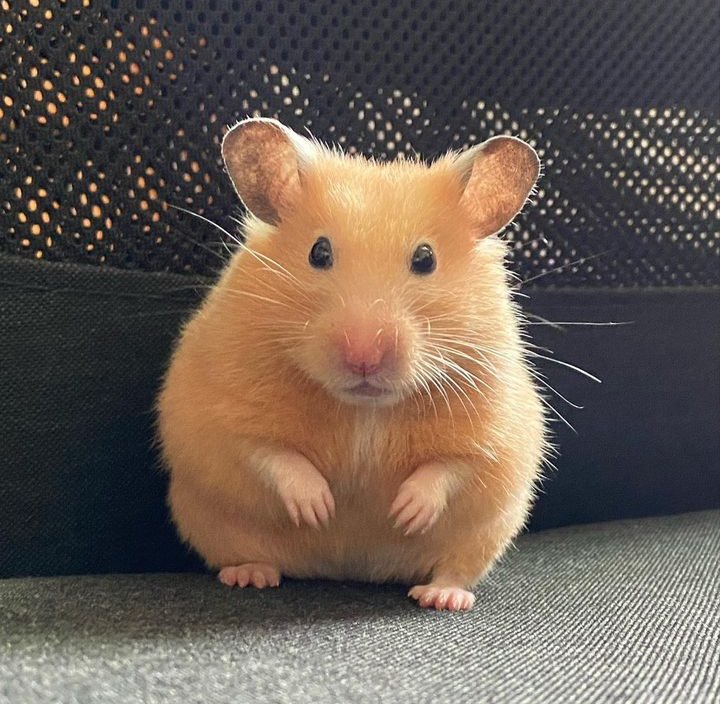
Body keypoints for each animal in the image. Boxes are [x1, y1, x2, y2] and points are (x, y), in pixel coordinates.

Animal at [157, 117, 547, 612]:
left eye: (425, 259)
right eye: (318, 252)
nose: (364, 355)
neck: (366, 408)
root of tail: (350, 570)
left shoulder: (497, 431)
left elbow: (451, 467)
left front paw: (404, 512)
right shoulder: (220, 414)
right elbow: (270, 455)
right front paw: (320, 508)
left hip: (484, 535)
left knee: (455, 567)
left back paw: (442, 596)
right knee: (247, 553)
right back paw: (250, 575)